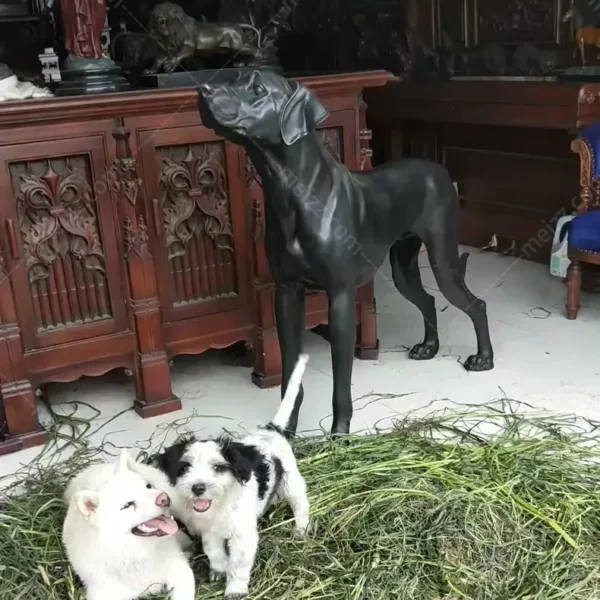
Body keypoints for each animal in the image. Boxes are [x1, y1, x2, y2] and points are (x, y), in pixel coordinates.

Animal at [152, 354, 312, 596]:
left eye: (219, 468)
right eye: (186, 468)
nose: (198, 488)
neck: (221, 505)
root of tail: (272, 429)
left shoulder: (242, 537)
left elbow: (239, 564)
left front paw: (235, 589)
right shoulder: (210, 532)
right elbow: (214, 552)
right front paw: (218, 571)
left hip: (291, 481)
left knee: (301, 504)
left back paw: (301, 530)